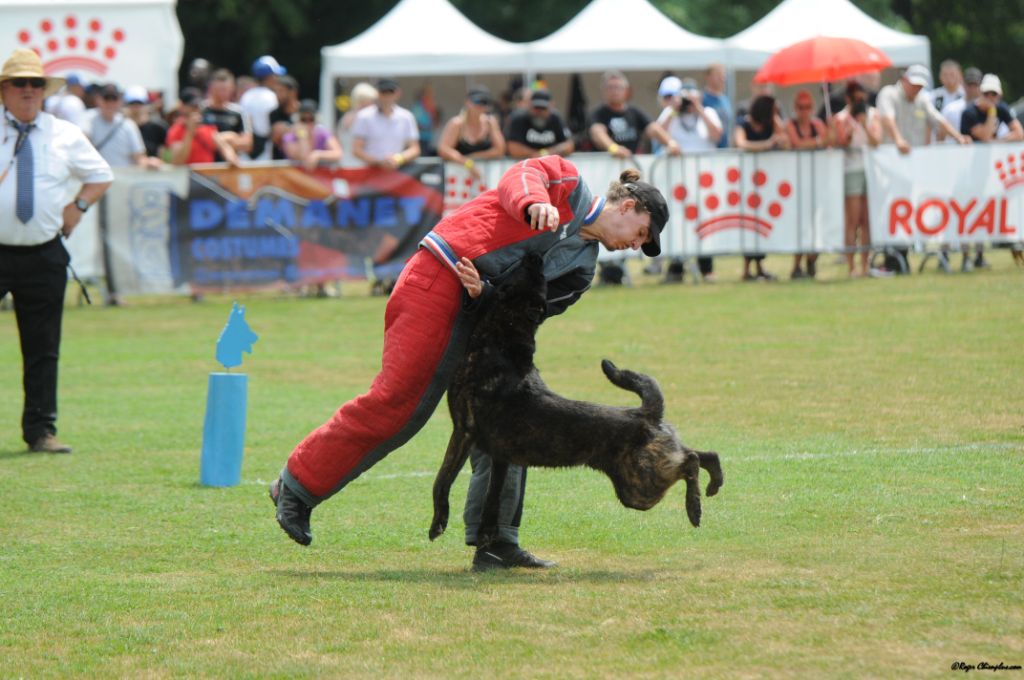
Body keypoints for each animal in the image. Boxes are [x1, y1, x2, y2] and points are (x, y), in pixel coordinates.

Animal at [428, 251, 724, 548]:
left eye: (536, 275)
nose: (535, 256)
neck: (502, 341)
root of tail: (648, 414)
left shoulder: (463, 431)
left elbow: (442, 479)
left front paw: (438, 524)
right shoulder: (498, 455)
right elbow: (491, 498)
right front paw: (485, 533)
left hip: (639, 486)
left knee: (690, 461)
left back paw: (694, 508)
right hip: (645, 475)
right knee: (705, 453)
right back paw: (714, 485)